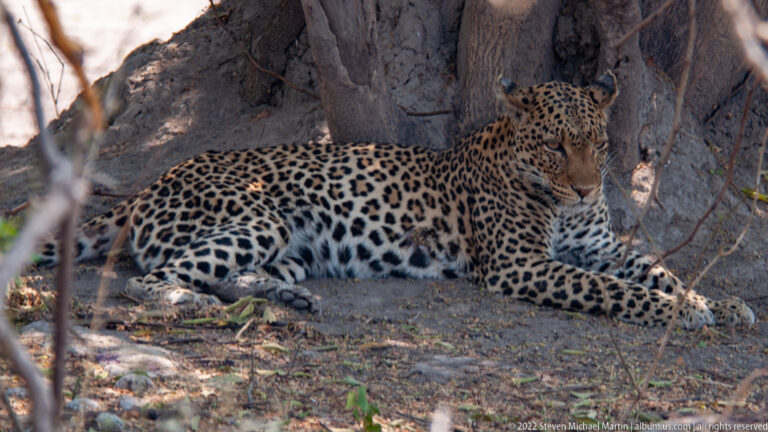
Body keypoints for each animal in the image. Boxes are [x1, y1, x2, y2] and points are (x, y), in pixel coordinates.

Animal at [38, 72, 755, 329]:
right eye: (556, 145)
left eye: (599, 145)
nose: (585, 186)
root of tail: (153, 183)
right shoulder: (521, 266)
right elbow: (618, 290)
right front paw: (683, 313)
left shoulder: (602, 248)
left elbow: (659, 269)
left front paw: (716, 302)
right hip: (258, 214)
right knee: (152, 279)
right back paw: (189, 303)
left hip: (287, 243)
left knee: (230, 273)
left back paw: (291, 299)